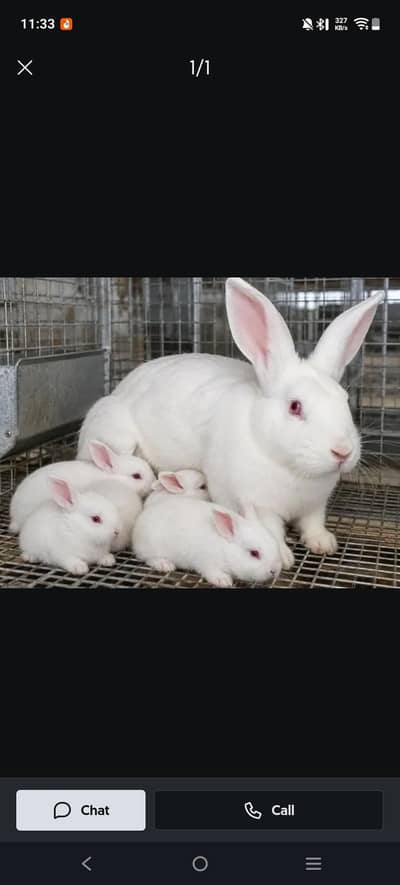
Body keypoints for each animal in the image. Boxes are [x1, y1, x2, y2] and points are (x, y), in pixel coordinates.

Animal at [107, 279, 383, 565]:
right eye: (295, 406)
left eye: (345, 399)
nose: (343, 451)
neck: (292, 470)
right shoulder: (257, 504)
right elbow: (270, 529)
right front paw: (283, 556)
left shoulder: (315, 505)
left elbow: (313, 523)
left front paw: (323, 543)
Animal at [132, 494, 282, 587]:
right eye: (254, 553)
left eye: (275, 544)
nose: (274, 570)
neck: (225, 549)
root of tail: (139, 521)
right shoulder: (207, 563)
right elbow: (211, 572)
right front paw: (223, 580)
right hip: (150, 547)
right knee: (148, 558)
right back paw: (165, 565)